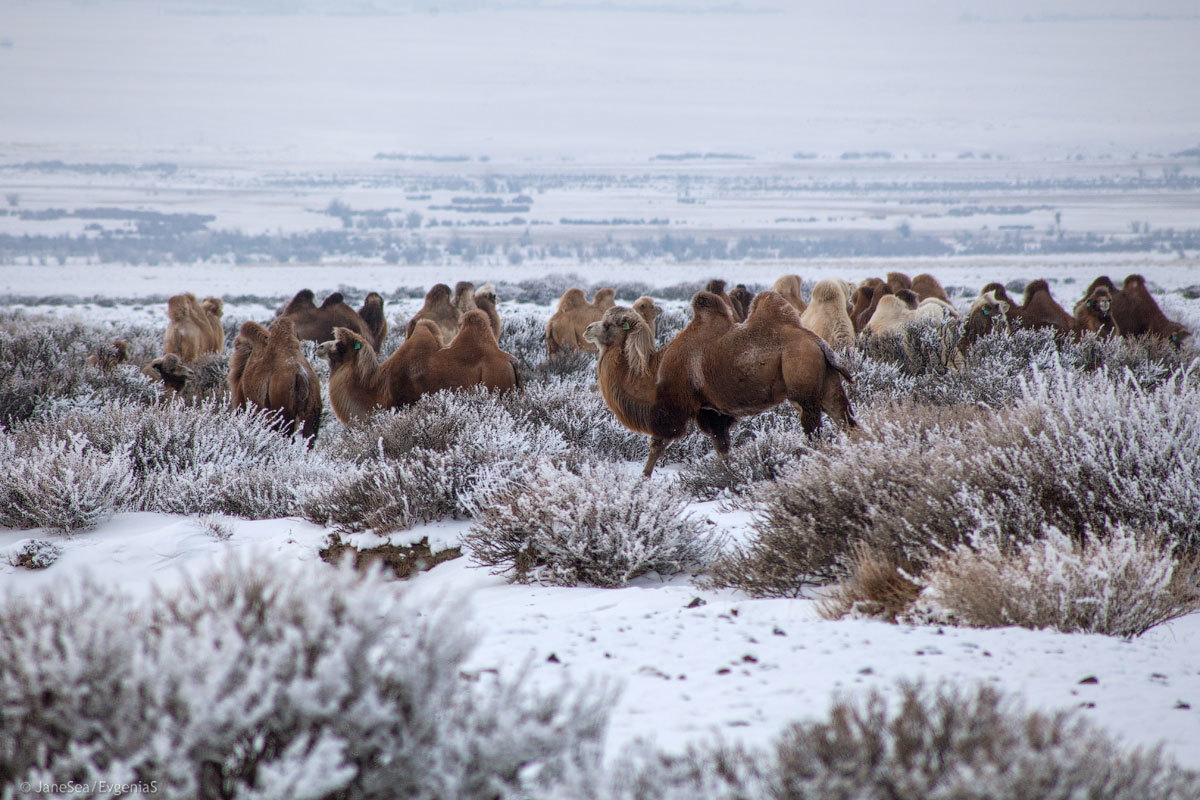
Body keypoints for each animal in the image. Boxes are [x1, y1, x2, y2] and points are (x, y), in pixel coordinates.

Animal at [588, 291, 859, 474]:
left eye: (608, 325)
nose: (588, 329)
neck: (653, 374)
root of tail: (819, 344)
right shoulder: (711, 411)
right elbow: (722, 448)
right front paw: (730, 475)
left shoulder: (673, 407)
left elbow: (657, 444)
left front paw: (642, 481)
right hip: (826, 383)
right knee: (845, 419)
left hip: (804, 388)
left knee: (815, 431)